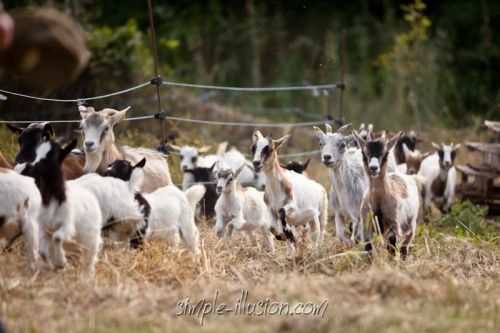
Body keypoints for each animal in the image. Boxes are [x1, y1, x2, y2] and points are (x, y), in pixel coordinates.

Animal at [29, 139, 102, 274]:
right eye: (37, 152)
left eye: (55, 154)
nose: (33, 170)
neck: (53, 200)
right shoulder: (44, 229)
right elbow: (42, 251)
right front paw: (52, 265)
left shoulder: (67, 225)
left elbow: (57, 238)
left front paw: (61, 262)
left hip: (90, 236)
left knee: (90, 256)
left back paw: (88, 274)